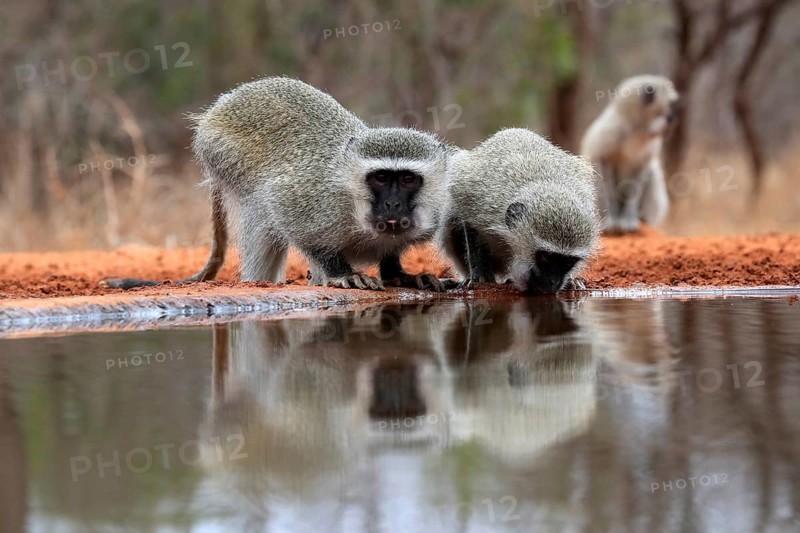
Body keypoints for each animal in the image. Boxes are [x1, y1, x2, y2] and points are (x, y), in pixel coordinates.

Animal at [101, 77, 448, 291]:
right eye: (381, 177)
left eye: (407, 179)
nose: (392, 204)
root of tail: (219, 107)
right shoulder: (317, 198)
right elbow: (285, 211)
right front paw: (342, 274)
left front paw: (399, 275)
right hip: (222, 149)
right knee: (260, 208)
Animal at [438, 128, 601, 294]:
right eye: (545, 257)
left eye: (568, 262)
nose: (554, 282)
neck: (544, 183)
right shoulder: (476, 201)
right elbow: (470, 227)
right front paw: (481, 276)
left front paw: (570, 282)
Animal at [580, 75, 679, 234]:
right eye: (669, 104)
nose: (672, 117)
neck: (637, 129)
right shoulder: (613, 131)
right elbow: (601, 163)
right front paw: (610, 220)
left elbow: (641, 174)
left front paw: (628, 220)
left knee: (652, 172)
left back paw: (643, 217)